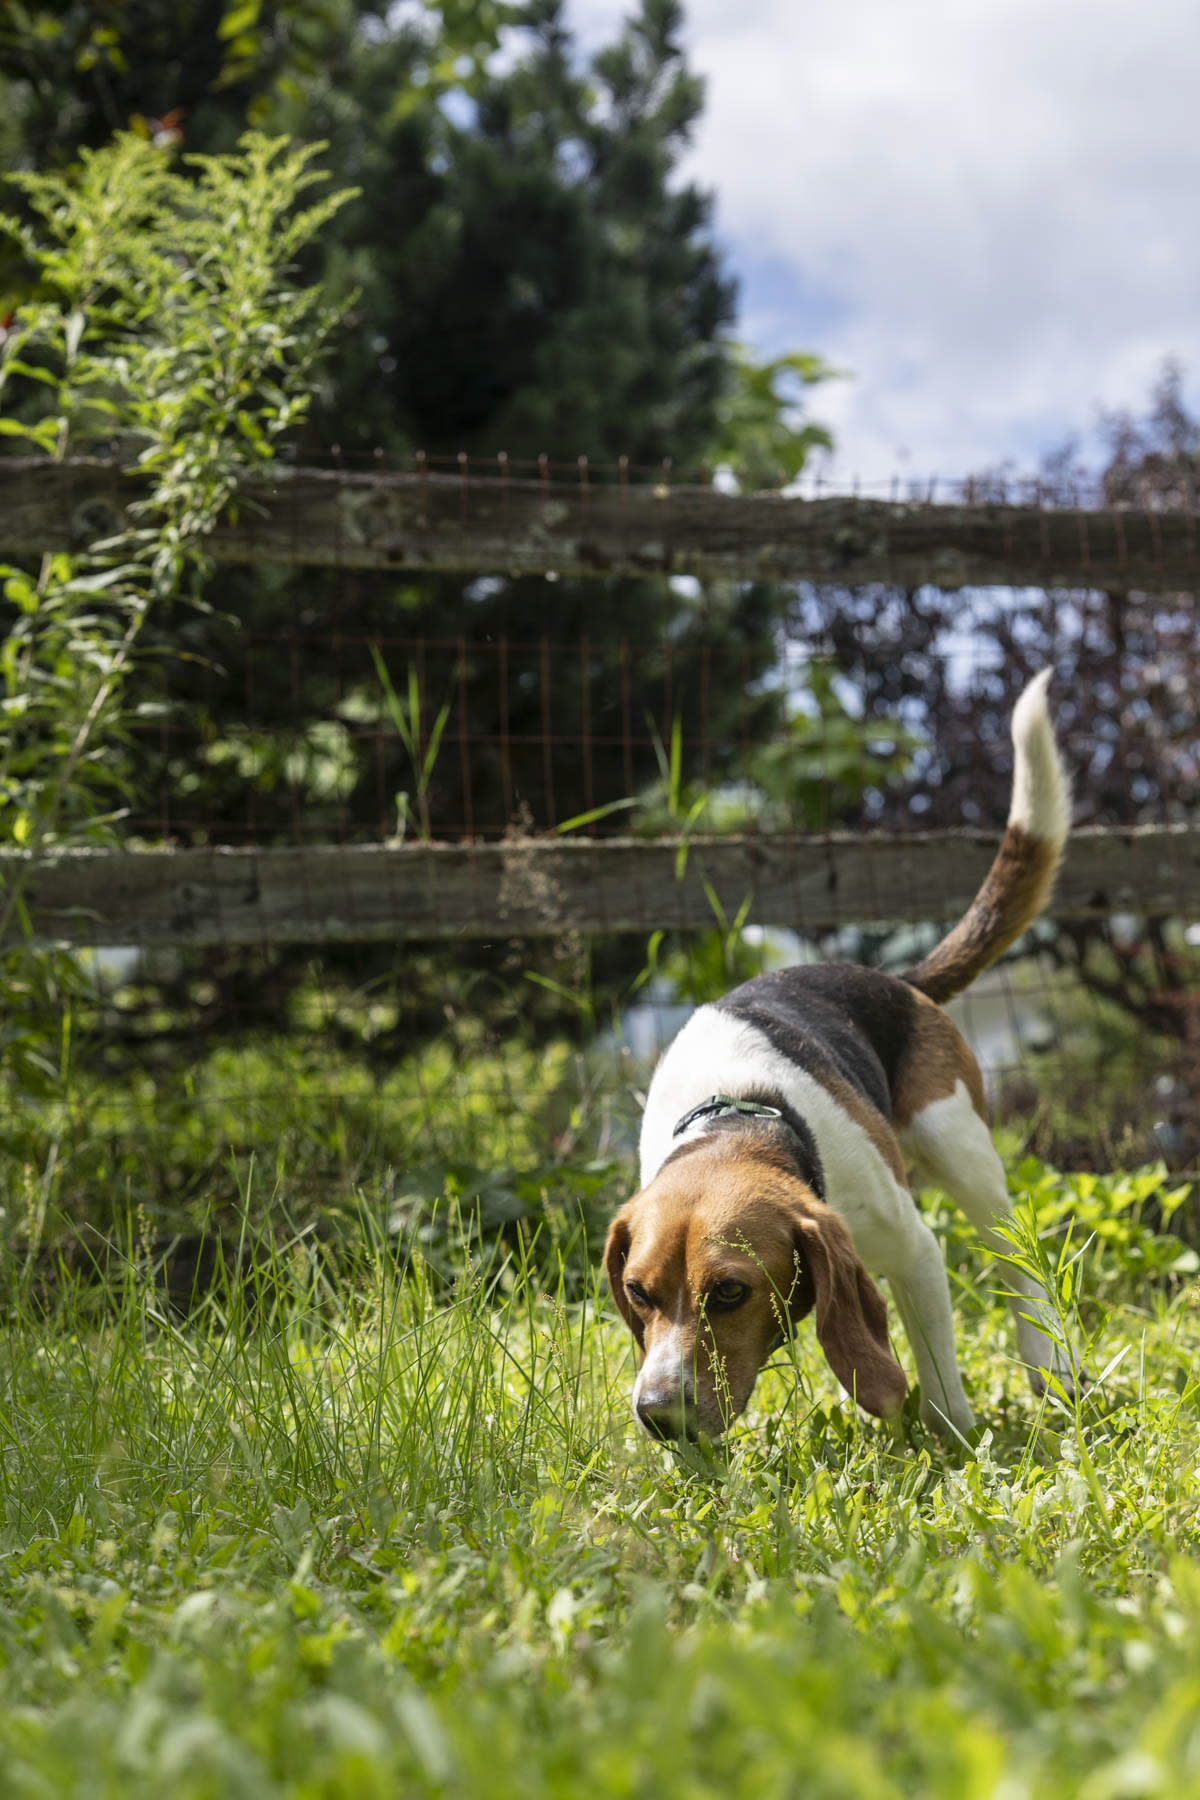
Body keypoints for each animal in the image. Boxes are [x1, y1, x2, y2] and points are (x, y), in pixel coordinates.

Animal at [604, 669, 1072, 1440]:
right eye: (638, 1292)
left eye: (729, 1291)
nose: (658, 1416)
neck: (741, 1118)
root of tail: (898, 979)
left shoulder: (912, 1251)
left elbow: (938, 1382)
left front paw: (951, 1442)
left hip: (964, 1153)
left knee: (1014, 1264)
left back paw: (1053, 1369)